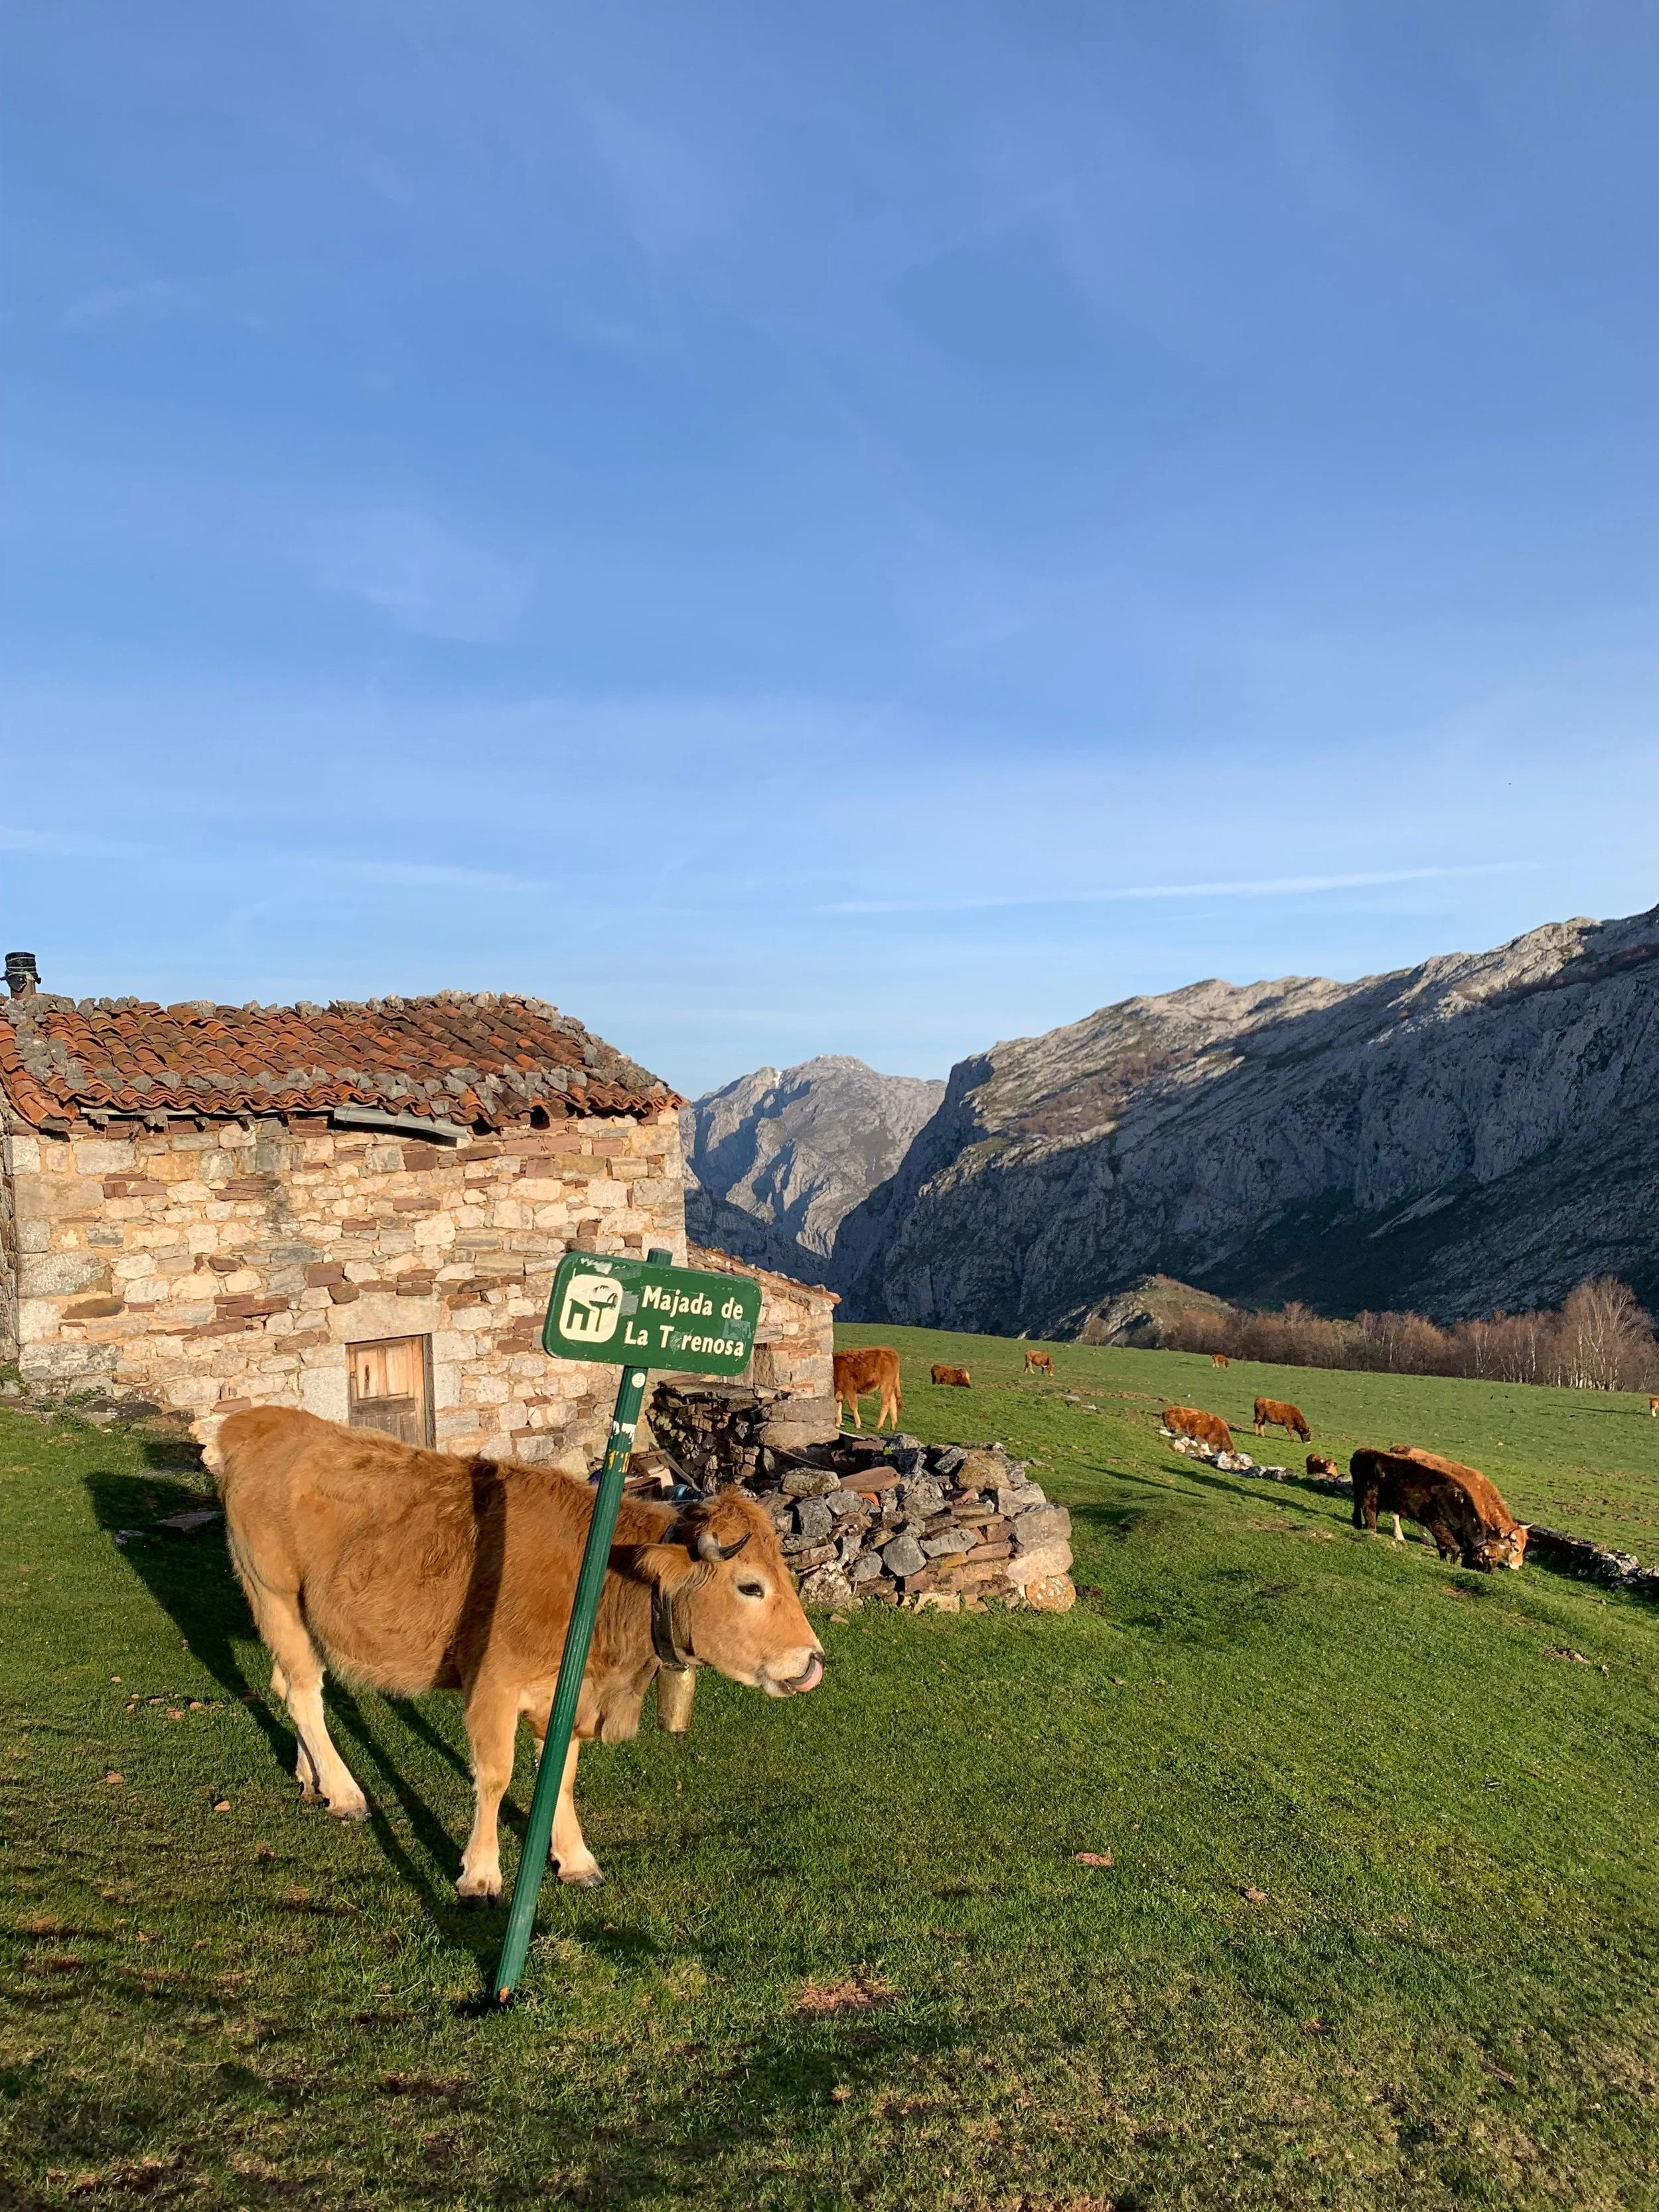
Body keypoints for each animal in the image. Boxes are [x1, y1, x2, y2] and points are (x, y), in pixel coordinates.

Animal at [206, 1409, 823, 1901]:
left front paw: (574, 1857)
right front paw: (480, 1873)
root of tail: (263, 1421)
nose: (814, 1662)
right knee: (305, 1694)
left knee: (289, 1686)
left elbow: (563, 1776)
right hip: (274, 1596)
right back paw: (345, 1790)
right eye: (750, 1586)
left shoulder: (565, 1695)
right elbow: (495, 1776)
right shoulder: (494, 1684)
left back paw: (310, 1776)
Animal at [832, 1346, 902, 1433]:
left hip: (886, 1384)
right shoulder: (839, 1391)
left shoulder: (850, 1388)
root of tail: (891, 1350)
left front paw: (858, 1424)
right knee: (893, 1401)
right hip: (890, 1386)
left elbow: (853, 1406)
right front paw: (838, 1423)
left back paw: (879, 1425)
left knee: (886, 1403)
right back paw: (893, 1425)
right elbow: (838, 1405)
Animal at [1349, 1445, 1529, 1571]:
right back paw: (1400, 1535)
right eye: (1516, 1548)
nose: (1517, 1566)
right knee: (1396, 1515)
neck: (1482, 1494)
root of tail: (1399, 1448)